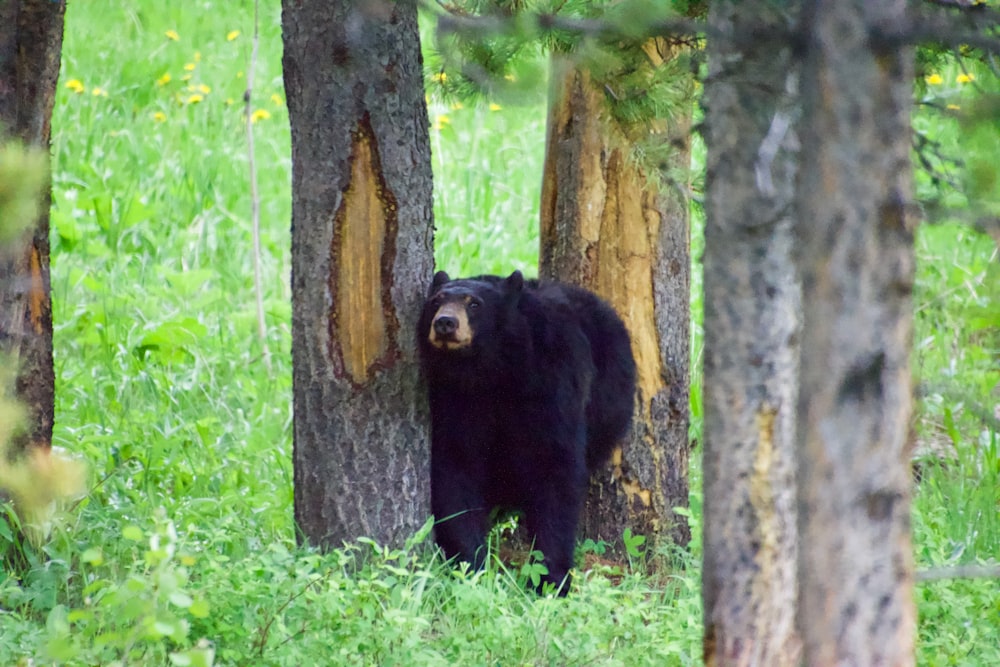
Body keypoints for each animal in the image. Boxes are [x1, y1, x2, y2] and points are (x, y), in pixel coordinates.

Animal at [418, 272, 636, 596]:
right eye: (436, 300)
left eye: (474, 303)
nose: (445, 322)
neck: (491, 369)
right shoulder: (455, 399)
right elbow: (455, 467)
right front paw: (471, 565)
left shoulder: (552, 382)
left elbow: (555, 468)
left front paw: (552, 579)